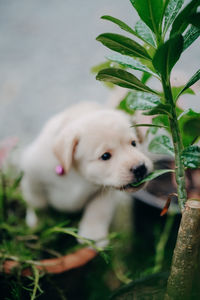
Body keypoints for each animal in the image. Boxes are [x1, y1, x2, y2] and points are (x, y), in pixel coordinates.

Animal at [21, 102, 152, 247]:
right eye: (105, 156)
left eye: (134, 143)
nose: (140, 168)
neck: (78, 176)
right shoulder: (33, 174)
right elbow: (37, 202)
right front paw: (40, 224)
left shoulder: (106, 192)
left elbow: (98, 211)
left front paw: (93, 236)